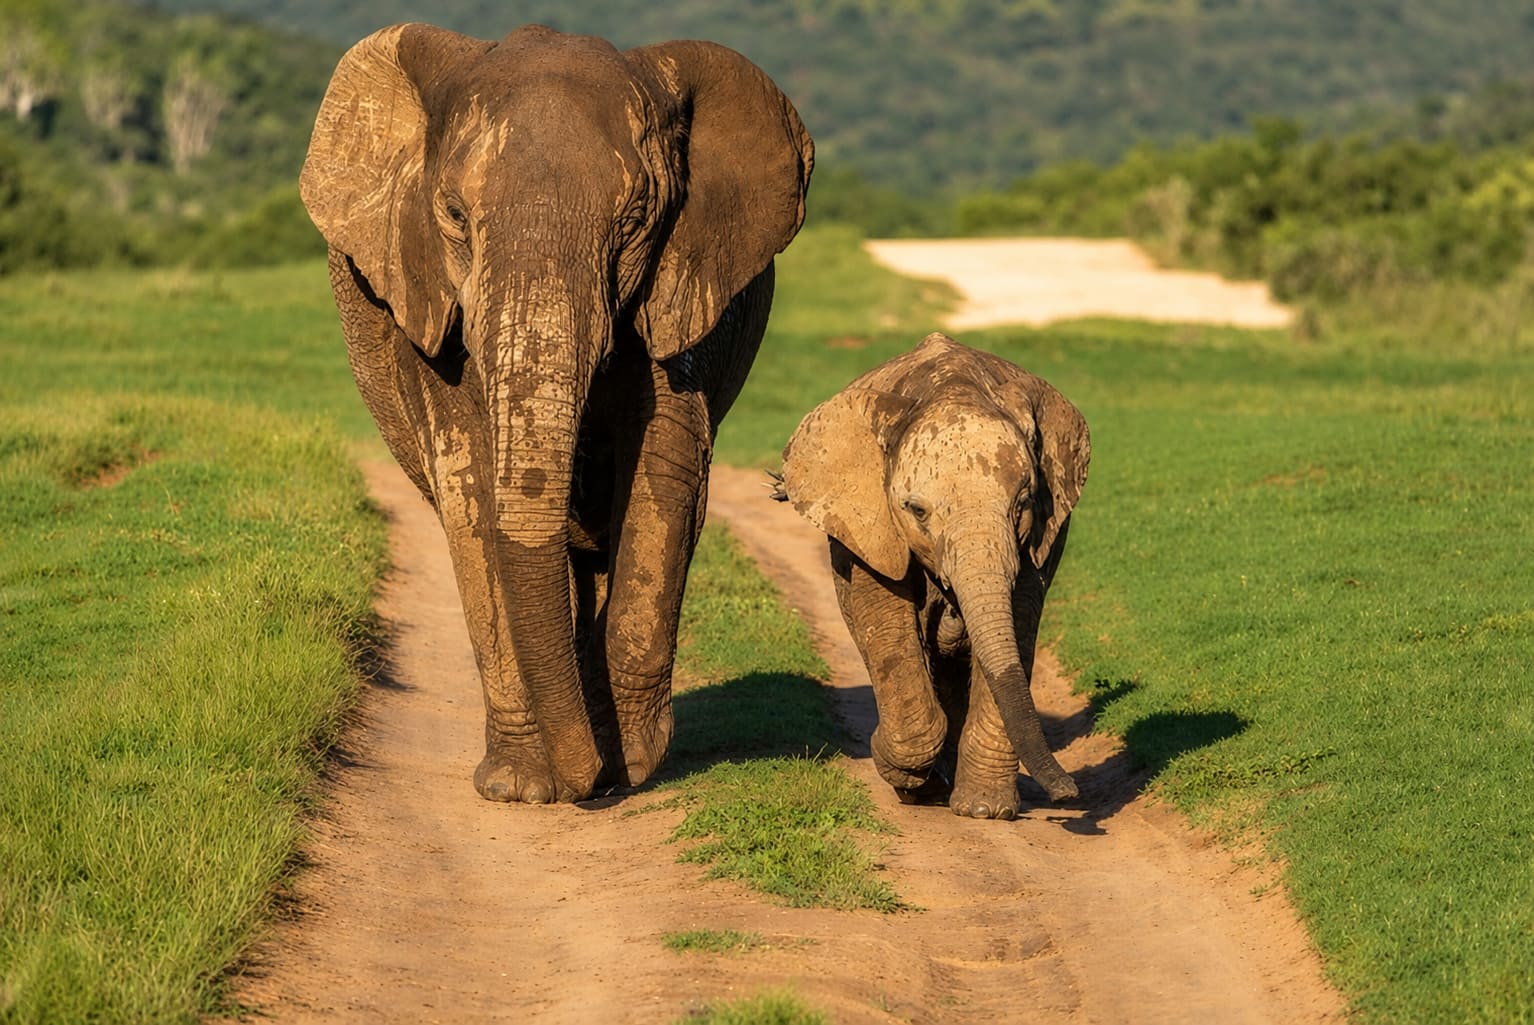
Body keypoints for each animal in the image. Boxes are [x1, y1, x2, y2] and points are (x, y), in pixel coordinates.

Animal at [299, 23, 813, 803]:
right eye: (454, 215)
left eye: (635, 222)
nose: (587, 781)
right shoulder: (426, 296)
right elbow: (470, 486)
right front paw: (521, 786)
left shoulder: (685, 281)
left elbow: (665, 464)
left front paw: (626, 766)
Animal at [779, 333, 1089, 819]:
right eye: (917, 511)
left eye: (1022, 504)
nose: (1068, 794)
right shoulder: (871, 524)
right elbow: (887, 624)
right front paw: (906, 778)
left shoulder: (1043, 534)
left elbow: (1017, 625)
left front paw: (985, 810)